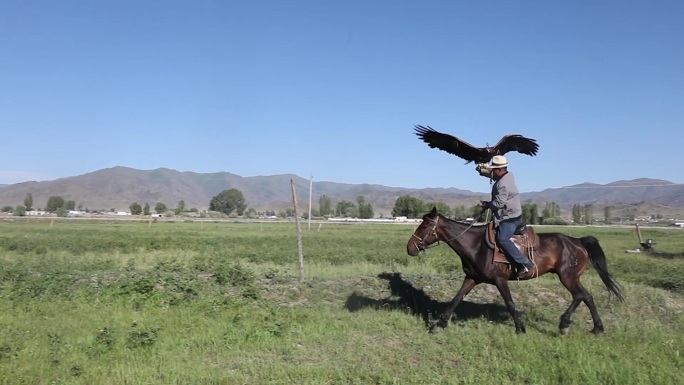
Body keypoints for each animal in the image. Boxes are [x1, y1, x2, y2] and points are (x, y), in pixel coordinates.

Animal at [406, 207, 624, 332]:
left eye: (424, 227)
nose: (410, 248)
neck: (476, 245)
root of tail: (578, 242)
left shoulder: (500, 280)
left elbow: (510, 303)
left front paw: (520, 328)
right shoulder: (472, 278)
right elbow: (456, 299)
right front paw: (439, 325)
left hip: (567, 277)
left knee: (580, 296)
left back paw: (565, 324)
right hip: (571, 277)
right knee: (587, 297)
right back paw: (596, 328)